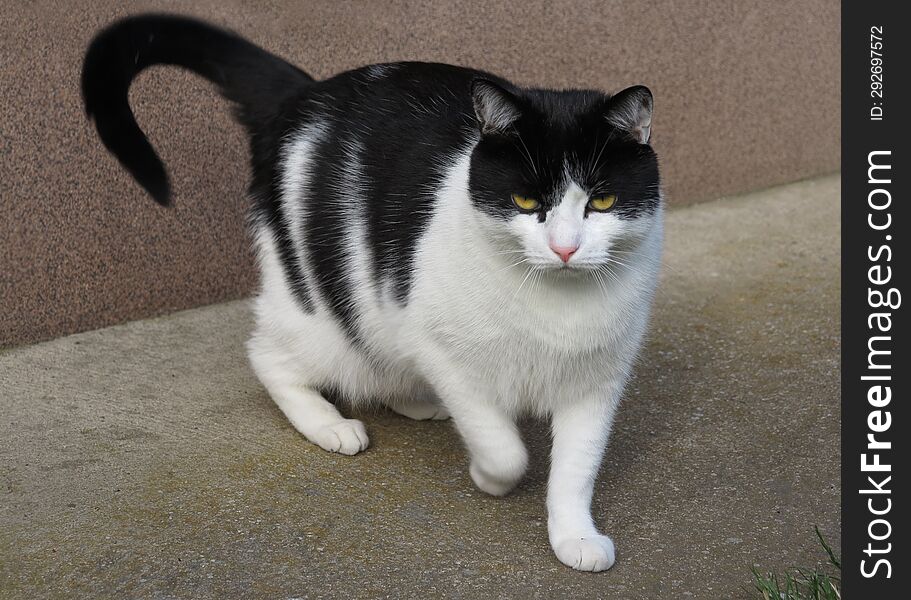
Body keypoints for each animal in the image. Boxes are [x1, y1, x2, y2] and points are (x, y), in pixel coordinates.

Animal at [83, 11, 664, 568]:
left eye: (603, 201)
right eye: (525, 201)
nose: (565, 248)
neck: (554, 301)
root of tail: (308, 94)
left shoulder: (596, 382)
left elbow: (576, 470)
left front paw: (574, 536)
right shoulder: (446, 352)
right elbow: (504, 449)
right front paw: (488, 478)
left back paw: (414, 399)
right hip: (321, 312)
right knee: (270, 356)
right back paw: (328, 423)